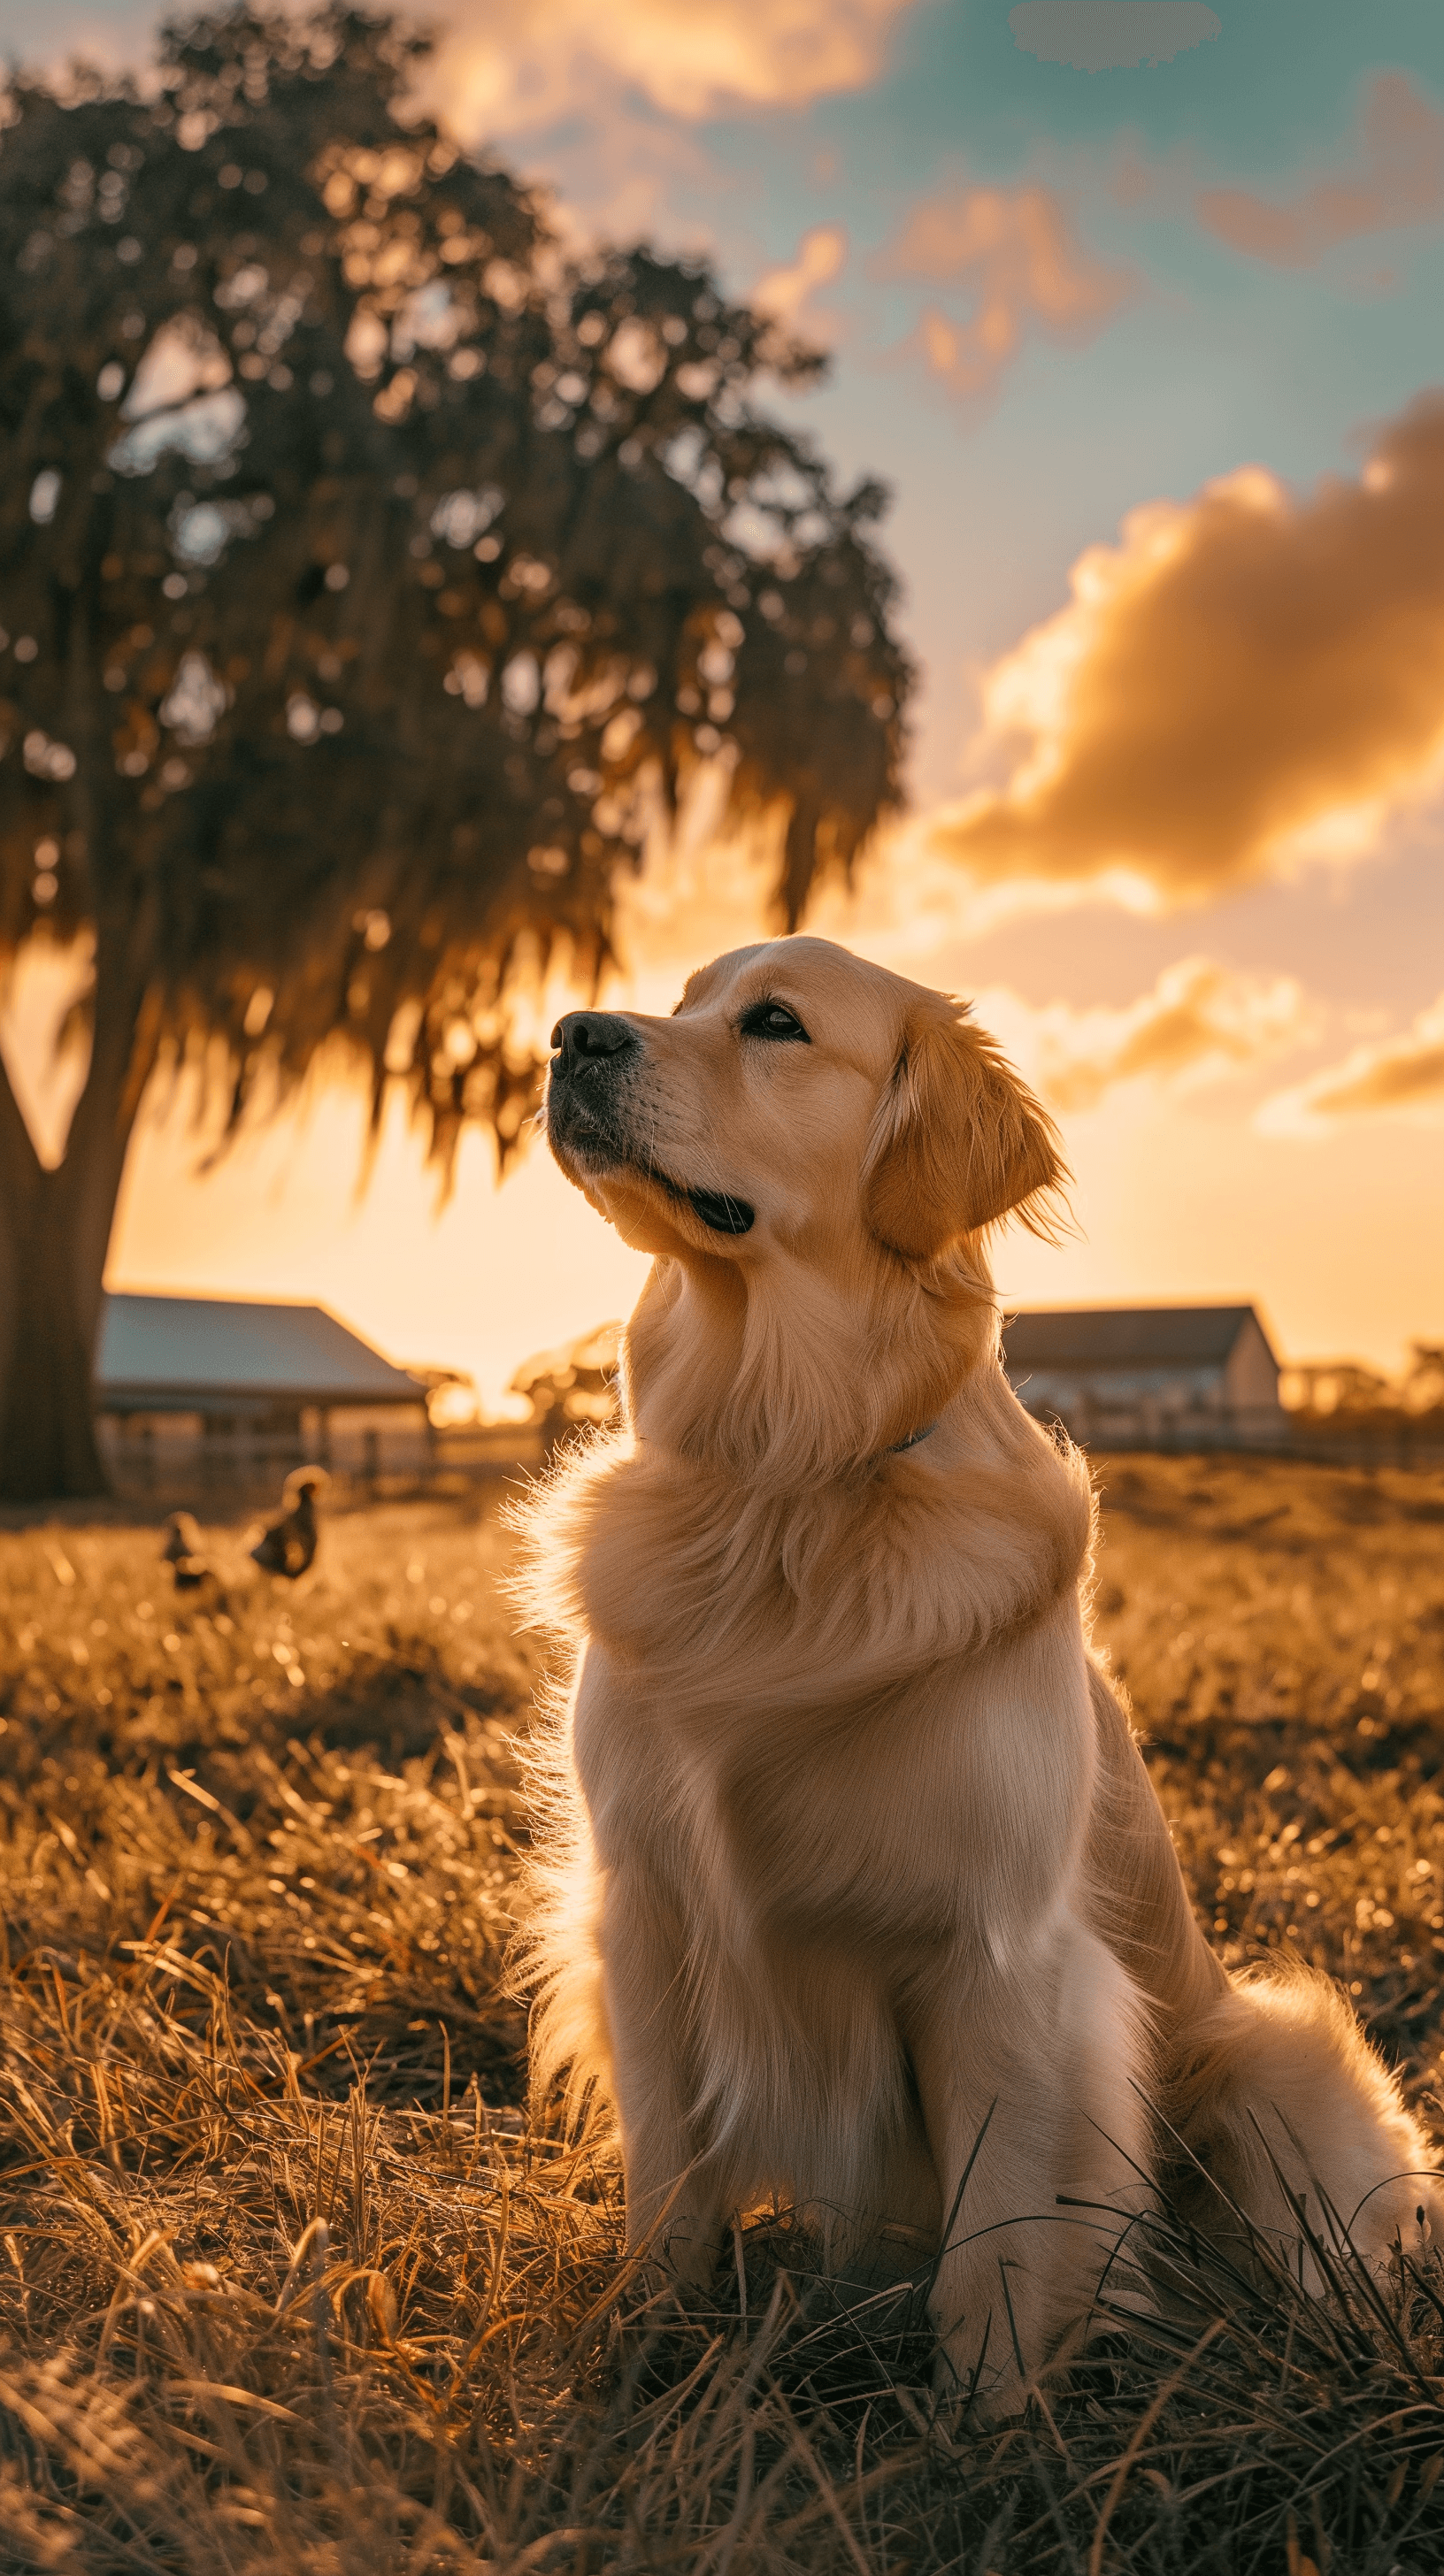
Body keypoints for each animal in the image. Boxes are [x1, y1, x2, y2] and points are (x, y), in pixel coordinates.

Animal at [515, 942, 1433, 2411]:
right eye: (681, 994)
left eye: (777, 1023)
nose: (569, 1036)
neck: (785, 1487)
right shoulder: (643, 1911)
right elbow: (671, 2184)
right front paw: (645, 2352)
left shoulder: (999, 1959)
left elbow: (997, 2246)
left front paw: (987, 2429)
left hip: (1271, 2056)